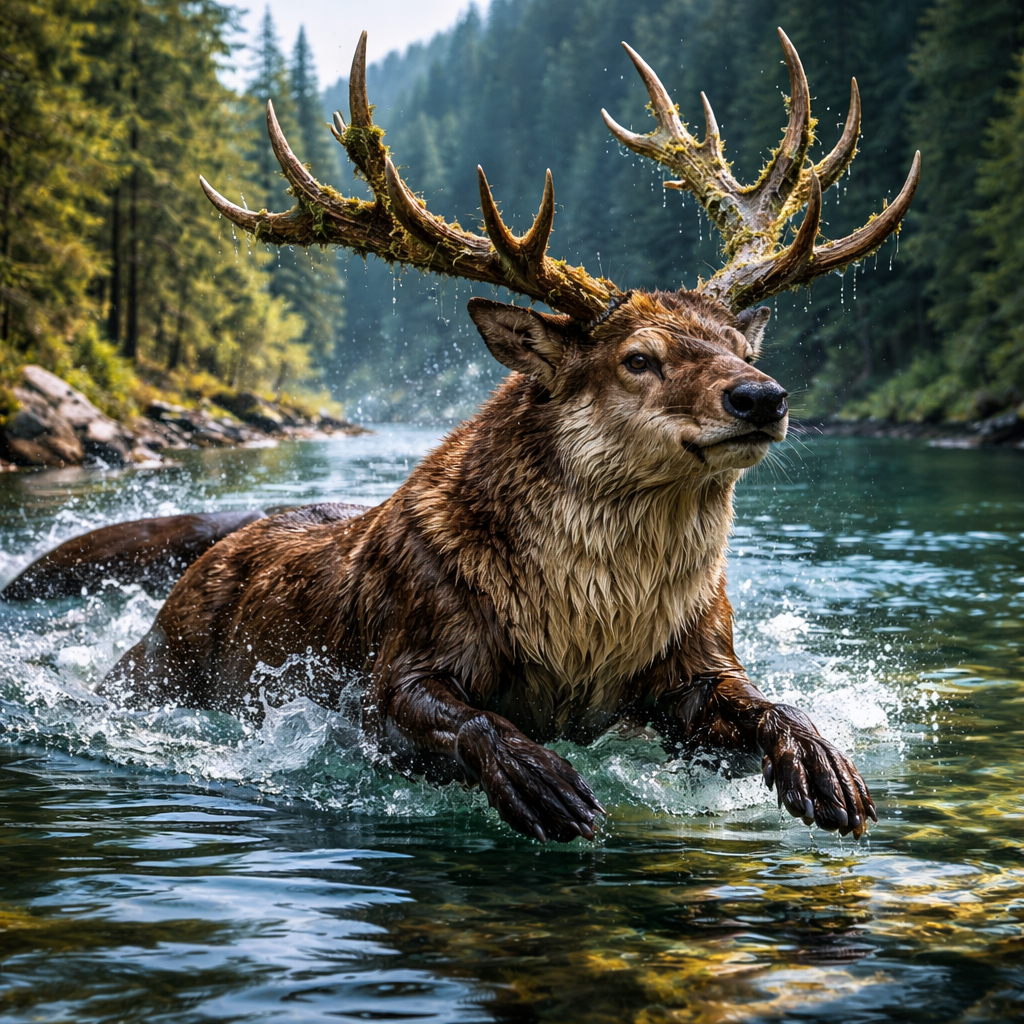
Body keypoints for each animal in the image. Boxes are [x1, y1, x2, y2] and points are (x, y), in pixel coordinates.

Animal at [7, 29, 918, 843]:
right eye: (638, 358)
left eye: (741, 348)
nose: (762, 397)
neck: (590, 623)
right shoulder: (407, 652)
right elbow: (451, 716)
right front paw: (543, 783)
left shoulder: (698, 658)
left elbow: (768, 706)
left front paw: (824, 768)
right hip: (160, 664)